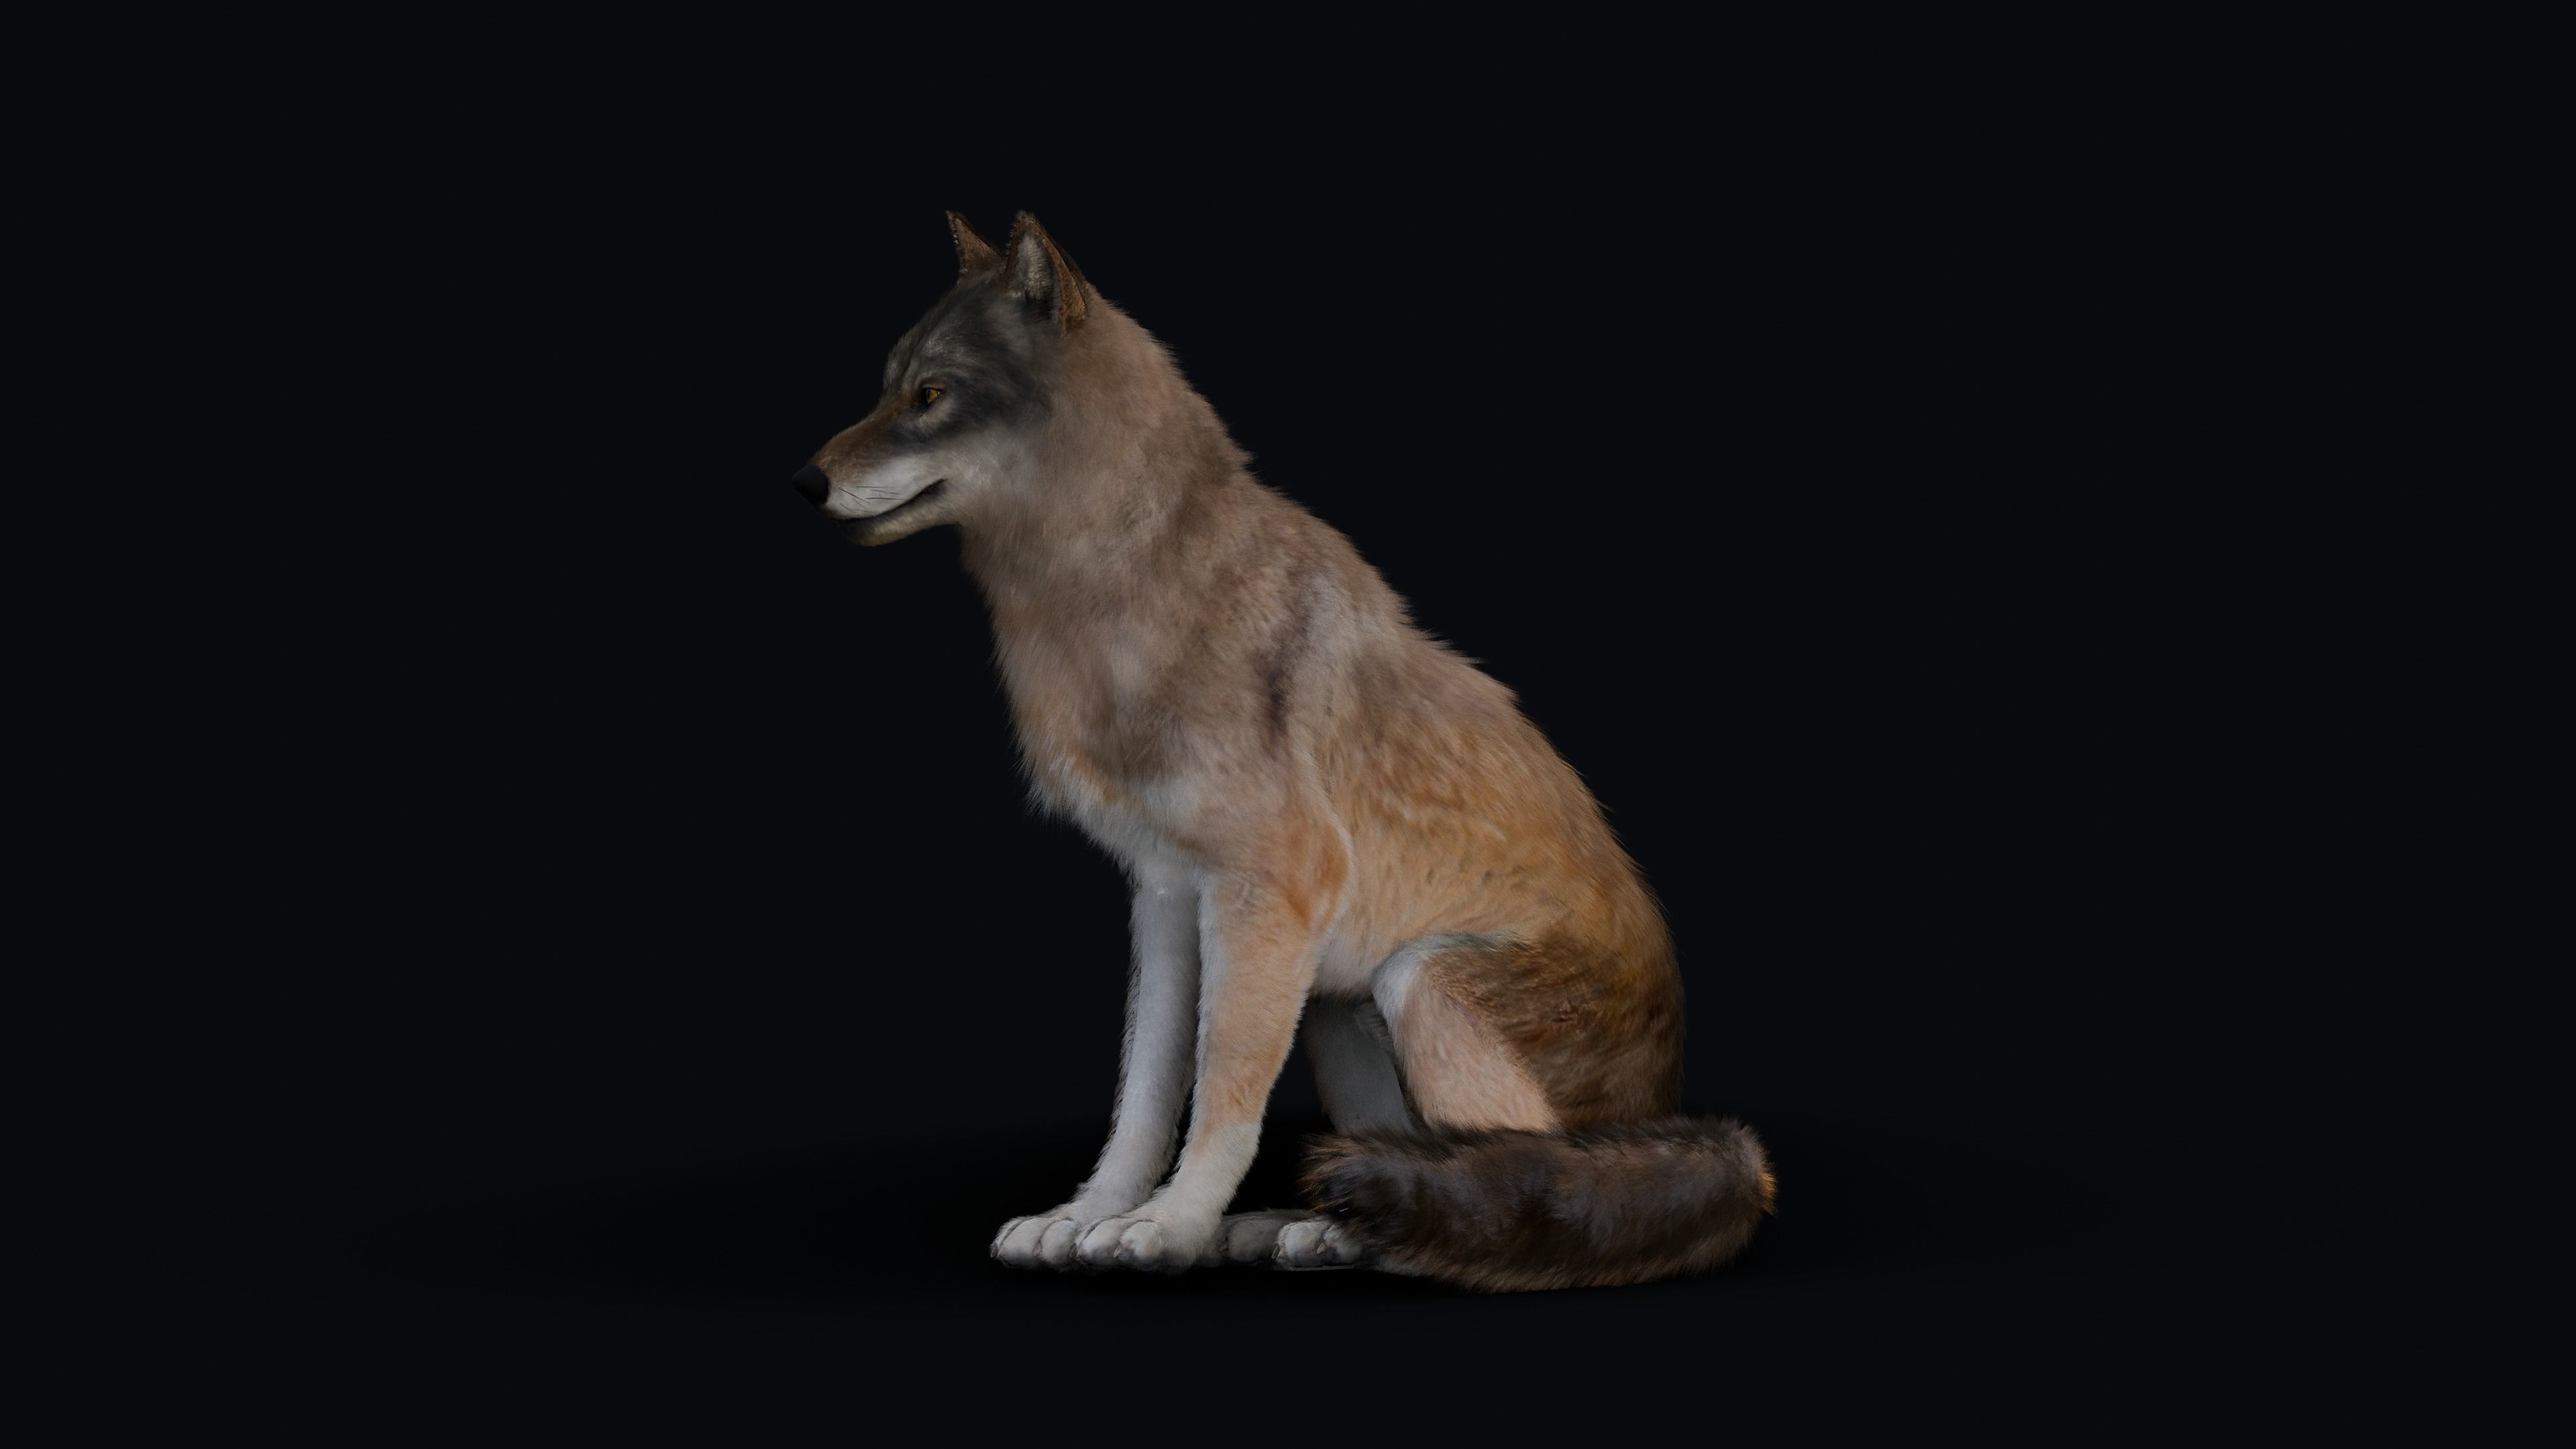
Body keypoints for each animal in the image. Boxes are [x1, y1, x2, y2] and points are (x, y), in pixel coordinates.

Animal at [790, 212, 1774, 1290]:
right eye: (887, 387)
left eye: (931, 396)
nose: (803, 482)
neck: (1114, 595)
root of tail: (1682, 1120)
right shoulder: (1166, 897)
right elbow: (1144, 1093)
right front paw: (1089, 1215)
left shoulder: (1268, 893)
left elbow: (1223, 1092)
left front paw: (1169, 1227)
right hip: (1343, 1014)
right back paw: (1327, 1230)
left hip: (1416, 984)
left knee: (1519, 1176)